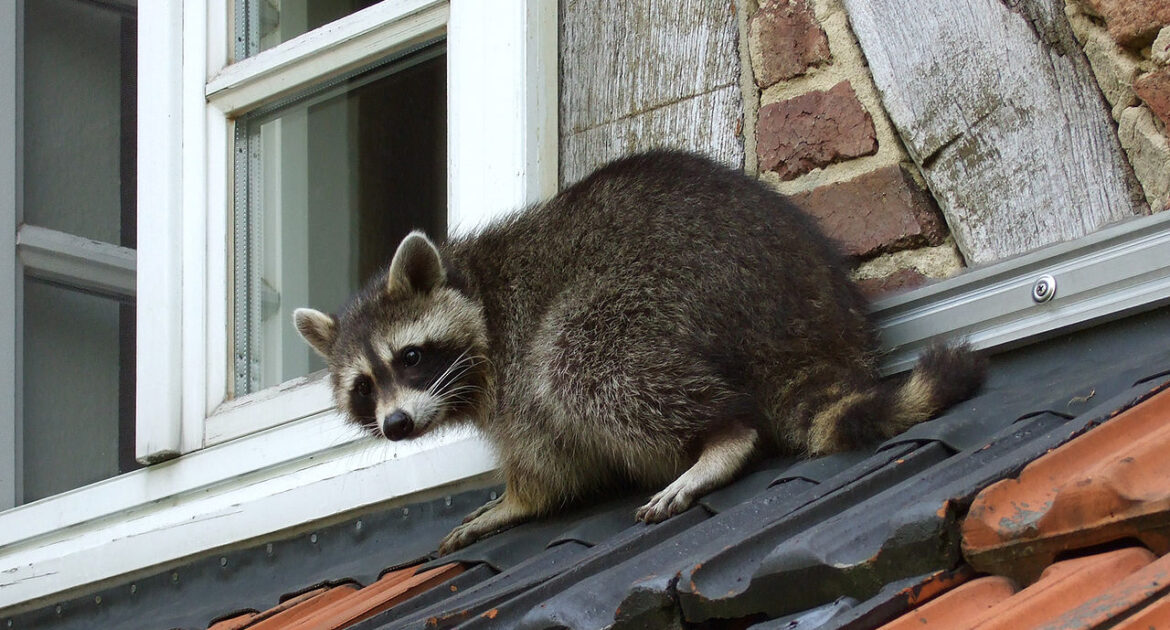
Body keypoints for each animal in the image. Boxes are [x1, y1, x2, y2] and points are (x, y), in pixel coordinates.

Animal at [292, 149, 987, 552]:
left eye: (410, 358)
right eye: (364, 387)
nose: (396, 425)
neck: (474, 287)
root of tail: (807, 320)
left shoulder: (512, 365)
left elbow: (547, 460)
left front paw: (518, 501)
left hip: (670, 287)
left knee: (579, 362)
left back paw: (721, 436)